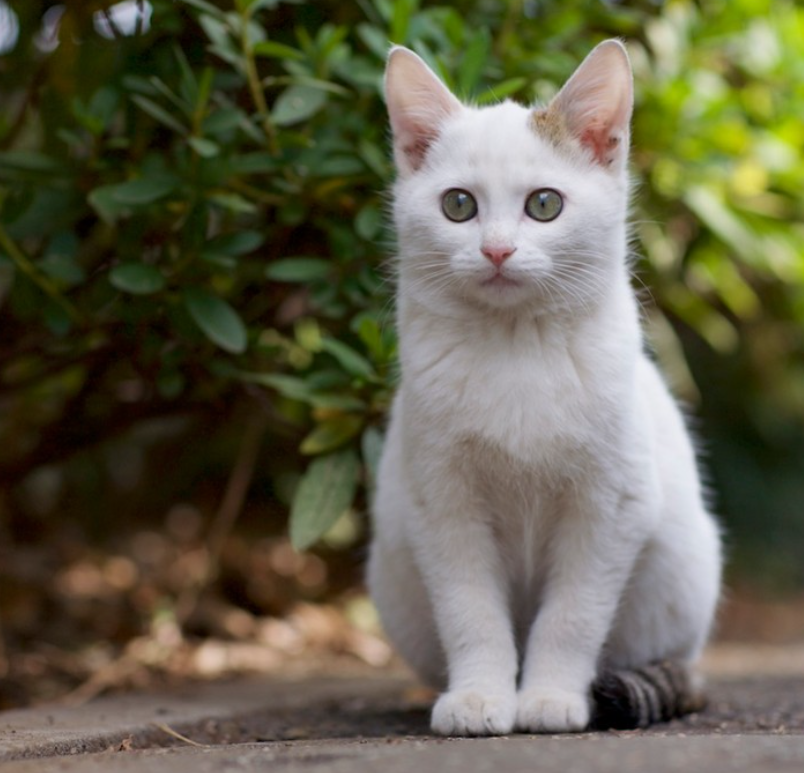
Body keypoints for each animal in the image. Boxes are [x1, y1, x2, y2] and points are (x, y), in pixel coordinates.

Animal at [370, 37, 724, 736]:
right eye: (458, 205)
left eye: (544, 204)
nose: (497, 251)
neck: (518, 350)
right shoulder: (442, 503)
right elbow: (470, 610)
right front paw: (480, 695)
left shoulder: (611, 505)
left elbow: (572, 616)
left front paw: (552, 696)